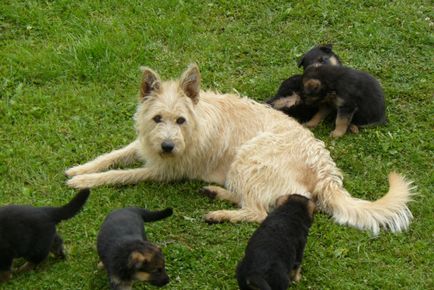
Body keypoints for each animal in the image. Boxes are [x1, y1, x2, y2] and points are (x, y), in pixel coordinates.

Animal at [66, 64, 416, 236]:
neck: (194, 126)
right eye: (157, 119)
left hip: (249, 157)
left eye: (180, 119)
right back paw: (217, 194)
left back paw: (220, 213)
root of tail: (326, 171)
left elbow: (120, 175)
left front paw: (83, 182)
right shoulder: (145, 146)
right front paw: (80, 168)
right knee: (254, 200)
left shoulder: (161, 170)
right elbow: (112, 156)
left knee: (259, 211)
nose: (167, 145)